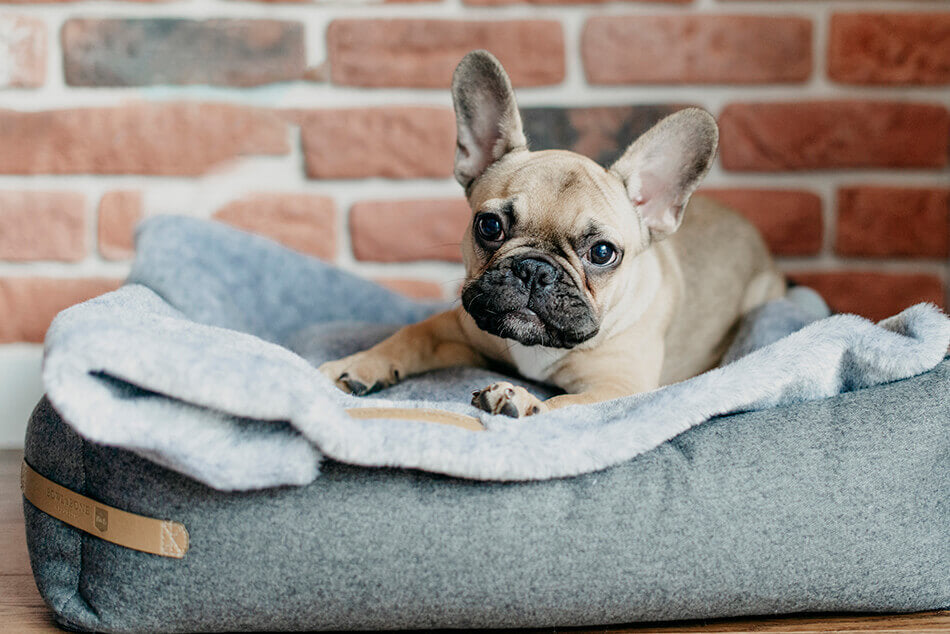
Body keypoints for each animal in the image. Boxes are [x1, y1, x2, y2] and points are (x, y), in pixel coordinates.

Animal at [316, 51, 784, 418]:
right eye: (490, 226)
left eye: (602, 252)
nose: (534, 269)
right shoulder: (456, 328)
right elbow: (410, 335)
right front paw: (357, 365)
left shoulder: (618, 388)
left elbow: (563, 406)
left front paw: (520, 400)